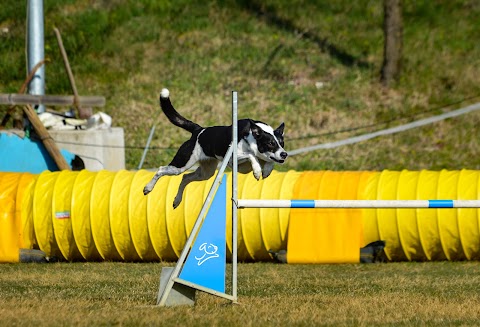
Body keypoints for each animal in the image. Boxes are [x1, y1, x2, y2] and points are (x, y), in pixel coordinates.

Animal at [141, 88, 286, 209]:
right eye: (270, 143)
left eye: (282, 143)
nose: (284, 154)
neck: (251, 136)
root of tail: (198, 130)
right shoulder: (232, 159)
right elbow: (252, 155)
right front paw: (257, 171)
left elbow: (269, 161)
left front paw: (266, 170)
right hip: (181, 164)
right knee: (162, 170)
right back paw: (148, 188)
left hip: (206, 172)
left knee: (186, 177)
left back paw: (177, 201)